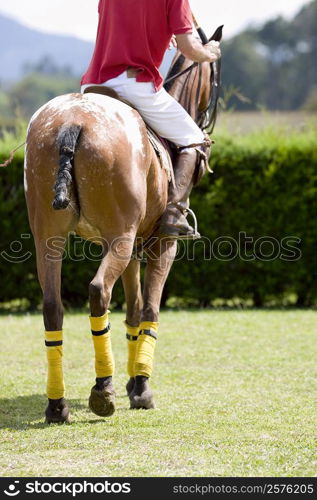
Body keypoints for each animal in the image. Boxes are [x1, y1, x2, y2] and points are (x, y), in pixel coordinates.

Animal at [24, 26, 222, 422]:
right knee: (98, 291)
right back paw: (103, 391)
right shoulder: (162, 245)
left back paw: (58, 404)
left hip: (50, 237)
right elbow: (149, 310)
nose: (209, 122)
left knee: (52, 306)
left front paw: (133, 382)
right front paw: (141, 388)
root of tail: (72, 123)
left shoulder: (130, 249)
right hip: (120, 237)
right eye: (216, 76)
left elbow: (132, 311)